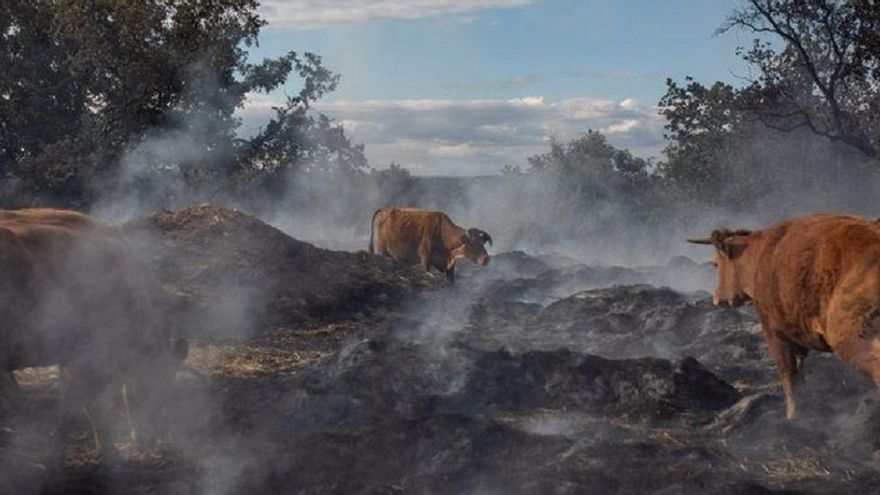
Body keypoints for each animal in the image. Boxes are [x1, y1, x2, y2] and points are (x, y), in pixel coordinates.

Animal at [0, 208, 187, 462]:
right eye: (158, 383)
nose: (150, 440)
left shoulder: (71, 362)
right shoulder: (87, 363)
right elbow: (89, 408)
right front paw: (108, 453)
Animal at [688, 212, 880, 426]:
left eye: (715, 264)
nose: (716, 298)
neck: (759, 255)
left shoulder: (774, 332)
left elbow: (788, 375)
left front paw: (793, 416)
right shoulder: (797, 336)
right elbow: (799, 373)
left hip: (850, 339)